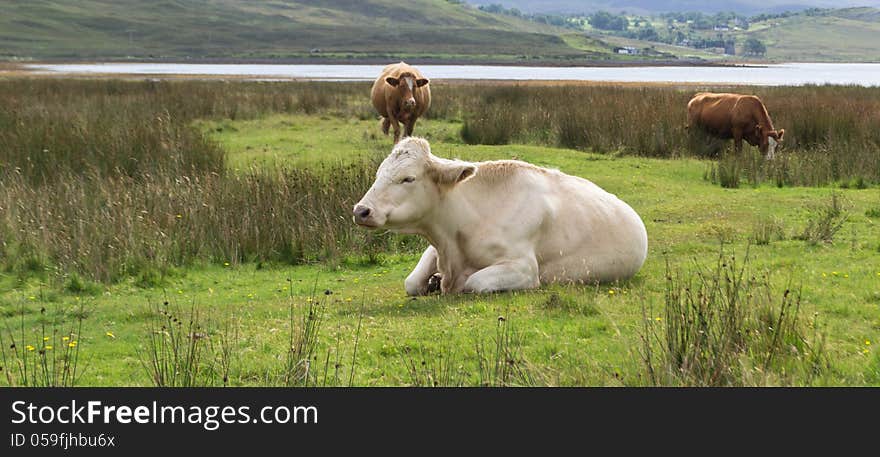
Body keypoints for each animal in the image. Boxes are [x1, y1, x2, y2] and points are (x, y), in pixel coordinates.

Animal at [354, 139, 648, 294]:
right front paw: (433, 280)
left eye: (408, 178)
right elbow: (412, 283)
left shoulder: (525, 268)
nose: (361, 211)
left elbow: (473, 283)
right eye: (378, 173)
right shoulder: (434, 248)